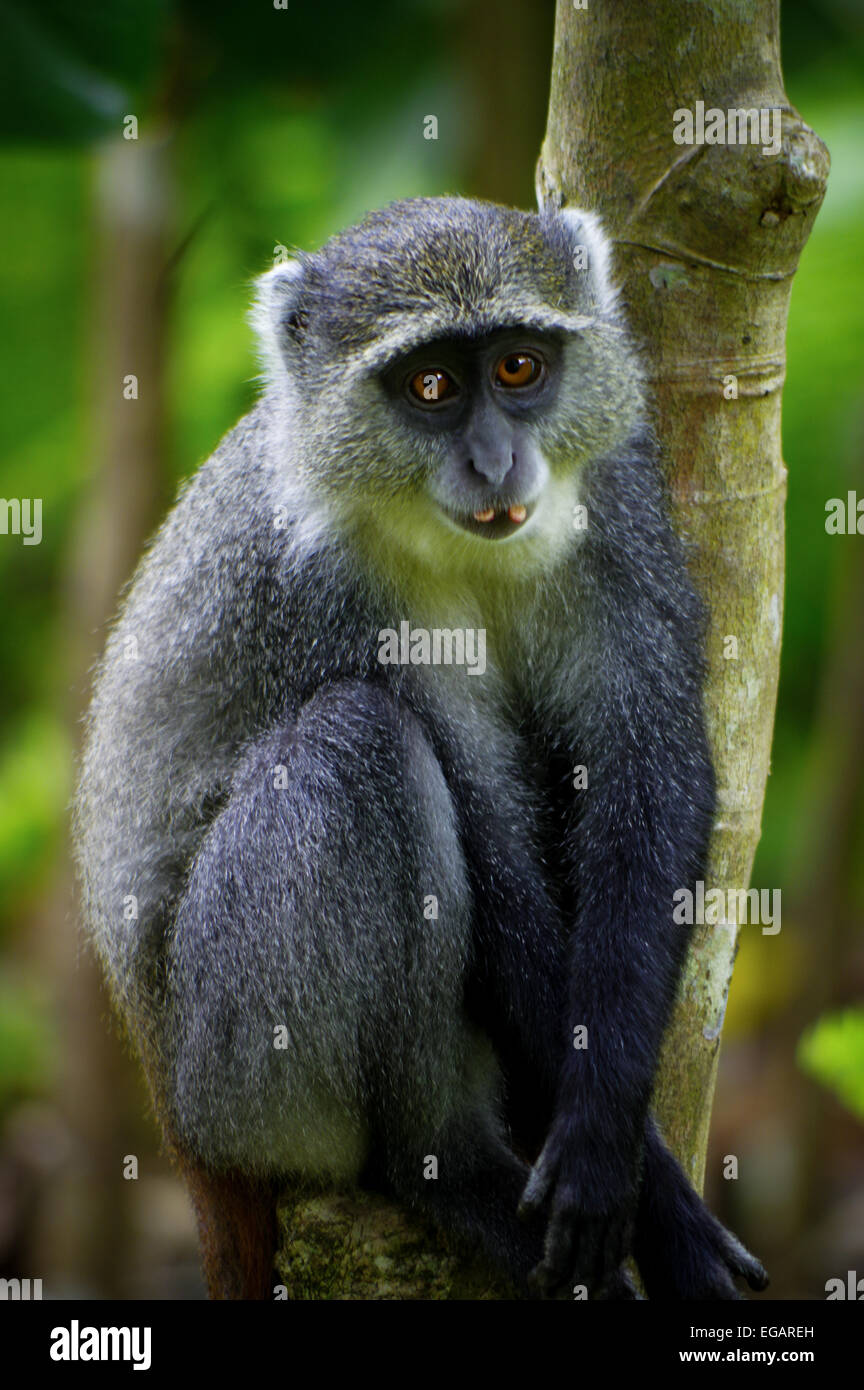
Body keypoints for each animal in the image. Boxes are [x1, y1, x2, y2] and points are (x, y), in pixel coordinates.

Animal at [73, 195, 769, 1301]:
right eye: (430, 385)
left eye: (519, 368)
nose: (494, 463)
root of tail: (180, 1126)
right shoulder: (329, 590)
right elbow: (483, 841)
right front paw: (656, 1210)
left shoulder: (619, 493)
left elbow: (648, 767)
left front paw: (606, 1138)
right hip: (235, 1069)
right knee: (358, 745)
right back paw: (447, 1168)